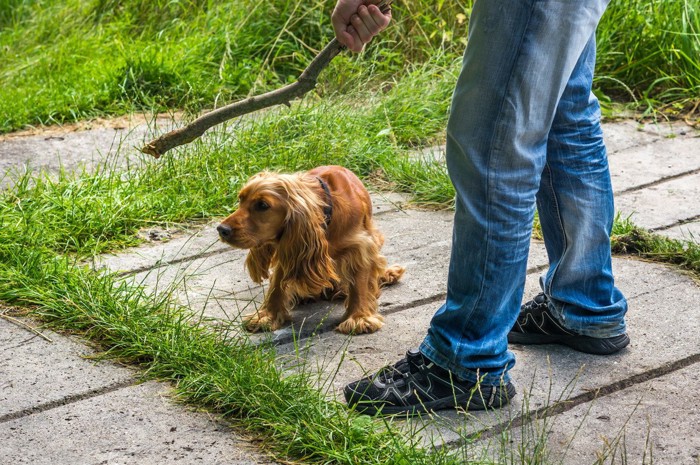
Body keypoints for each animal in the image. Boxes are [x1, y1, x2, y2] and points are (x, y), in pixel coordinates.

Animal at [219, 165, 404, 332]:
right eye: (240, 200)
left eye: (263, 205)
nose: (221, 229)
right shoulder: (289, 246)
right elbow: (276, 284)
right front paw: (266, 315)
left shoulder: (361, 245)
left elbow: (360, 283)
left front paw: (359, 318)